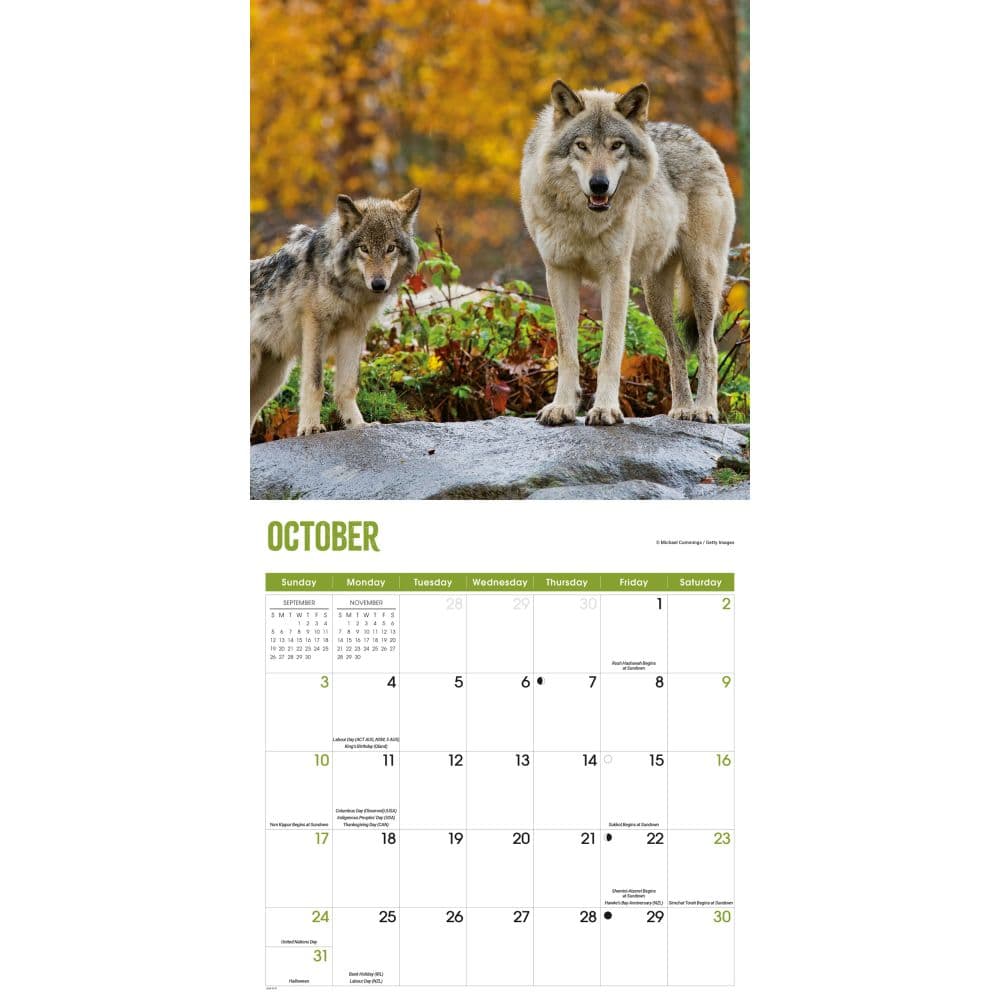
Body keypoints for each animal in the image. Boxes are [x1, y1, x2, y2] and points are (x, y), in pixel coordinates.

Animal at [250, 189, 421, 435]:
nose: (378, 284)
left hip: (271, 381)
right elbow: (315, 384)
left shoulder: (353, 329)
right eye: (364, 248)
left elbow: (347, 386)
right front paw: (310, 427)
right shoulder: (315, 323)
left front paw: (357, 424)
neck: (350, 290)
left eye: (390, 248)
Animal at [520, 81, 736, 424]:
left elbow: (610, 350)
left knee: (708, 347)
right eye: (581, 146)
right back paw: (681, 409)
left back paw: (704, 409)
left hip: (701, 281)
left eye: (616, 145)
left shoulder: (616, 275)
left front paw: (605, 409)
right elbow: (567, 352)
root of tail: (699, 138)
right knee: (676, 349)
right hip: (656, 298)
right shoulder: (559, 273)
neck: (584, 220)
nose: (599, 184)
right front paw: (562, 407)